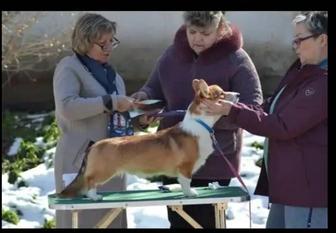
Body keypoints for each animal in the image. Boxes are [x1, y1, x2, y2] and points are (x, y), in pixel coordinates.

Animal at [59, 79, 240, 199]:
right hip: (103, 172)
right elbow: (186, 182)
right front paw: (190, 193)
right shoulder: (185, 168)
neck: (200, 123)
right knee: (90, 181)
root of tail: (94, 145)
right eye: (222, 93)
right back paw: (94, 196)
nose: (238, 94)